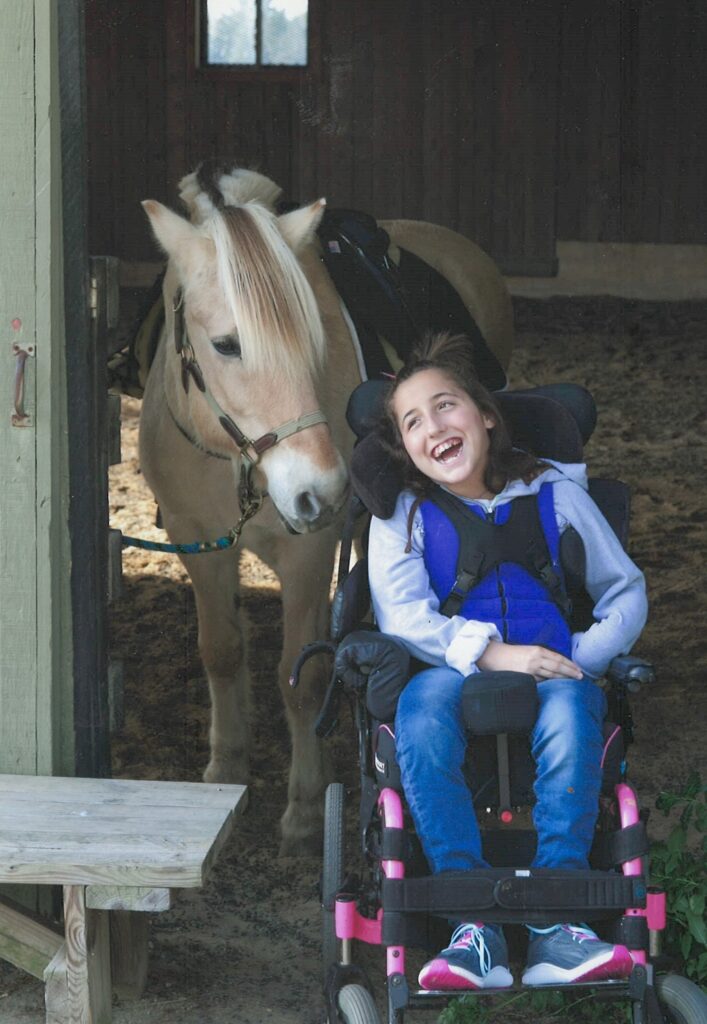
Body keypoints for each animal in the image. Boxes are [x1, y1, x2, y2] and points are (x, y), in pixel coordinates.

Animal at [139, 164, 513, 854]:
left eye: (311, 338)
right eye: (226, 344)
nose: (324, 489)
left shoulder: (308, 552)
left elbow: (303, 675)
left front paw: (306, 806)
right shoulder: (195, 539)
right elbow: (220, 650)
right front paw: (225, 770)